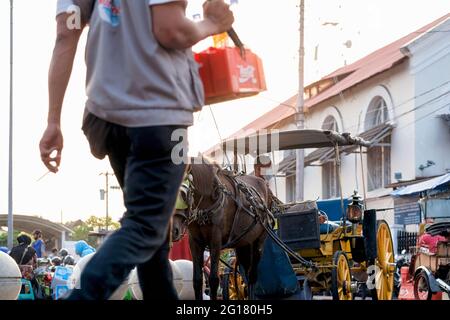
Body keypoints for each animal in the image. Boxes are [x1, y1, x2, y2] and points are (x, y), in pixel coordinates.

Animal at [171, 160, 270, 300]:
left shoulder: (215, 240)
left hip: (259, 241)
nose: (172, 230)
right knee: (246, 272)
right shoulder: (194, 242)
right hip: (243, 243)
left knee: (252, 276)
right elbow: (197, 280)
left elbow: (213, 279)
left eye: (183, 195)